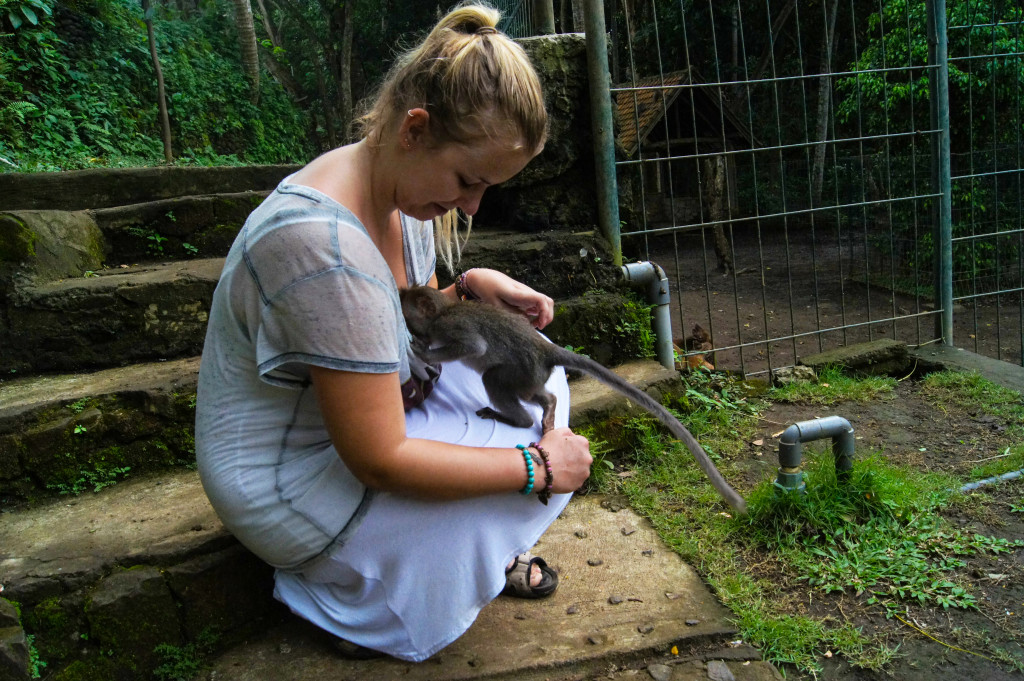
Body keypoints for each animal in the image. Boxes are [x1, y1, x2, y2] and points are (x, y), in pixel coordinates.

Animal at [401, 284, 753, 512]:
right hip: (530, 375)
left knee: (495, 380)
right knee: (537, 394)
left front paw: (422, 351)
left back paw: (516, 418)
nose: (398, 299)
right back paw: (548, 408)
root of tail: (546, 351)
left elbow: (473, 346)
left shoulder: (451, 326)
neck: (443, 311)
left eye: (405, 306)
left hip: (519, 370)